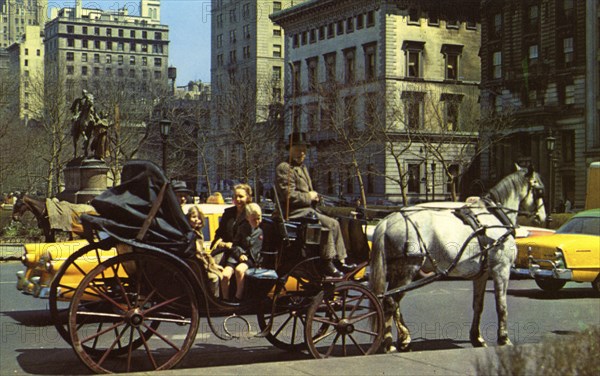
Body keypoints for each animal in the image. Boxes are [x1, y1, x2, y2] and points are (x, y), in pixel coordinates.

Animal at [368, 166, 548, 352]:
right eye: (540, 191)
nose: (544, 217)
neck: (495, 218)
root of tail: (387, 221)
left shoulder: (482, 274)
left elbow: (478, 305)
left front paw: (477, 338)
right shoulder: (501, 269)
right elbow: (502, 306)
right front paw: (504, 339)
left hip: (397, 270)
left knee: (392, 302)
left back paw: (403, 338)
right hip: (407, 269)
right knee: (390, 302)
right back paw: (389, 344)